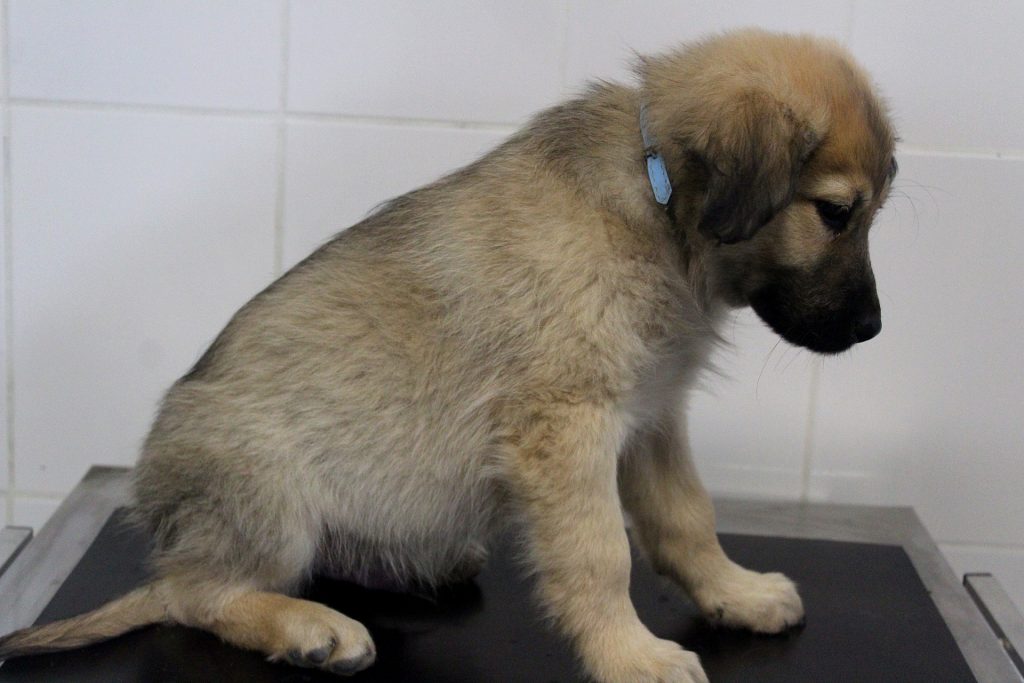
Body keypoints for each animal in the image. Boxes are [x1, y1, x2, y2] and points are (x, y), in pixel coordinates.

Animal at [0, 29, 895, 682]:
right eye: (836, 213)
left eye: (870, 212)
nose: (874, 329)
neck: (657, 202)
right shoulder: (569, 430)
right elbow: (600, 556)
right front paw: (630, 655)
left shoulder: (651, 418)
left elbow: (687, 520)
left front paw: (734, 593)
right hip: (266, 487)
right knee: (194, 591)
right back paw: (306, 624)